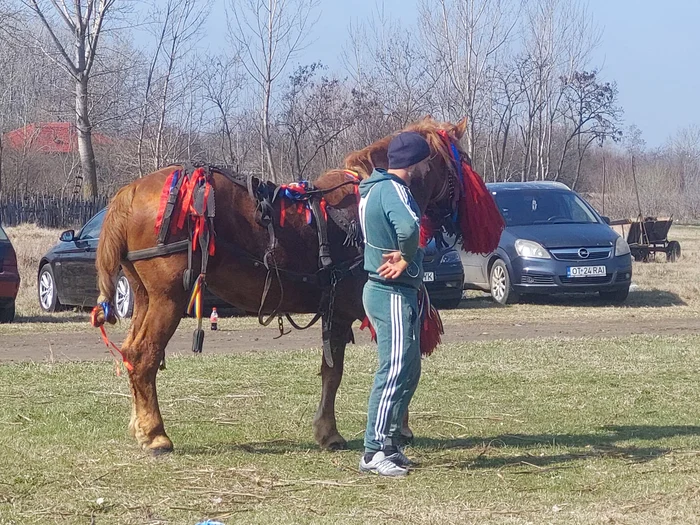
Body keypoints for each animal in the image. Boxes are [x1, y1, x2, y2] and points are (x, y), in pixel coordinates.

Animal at [94, 116, 476, 452]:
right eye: (464, 162)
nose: (458, 220)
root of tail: (130, 192)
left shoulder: (337, 311)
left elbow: (341, 369)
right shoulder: (348, 310)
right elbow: (365, 364)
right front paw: (357, 430)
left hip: (145, 297)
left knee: (130, 353)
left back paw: (140, 425)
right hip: (168, 298)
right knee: (145, 355)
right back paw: (156, 435)